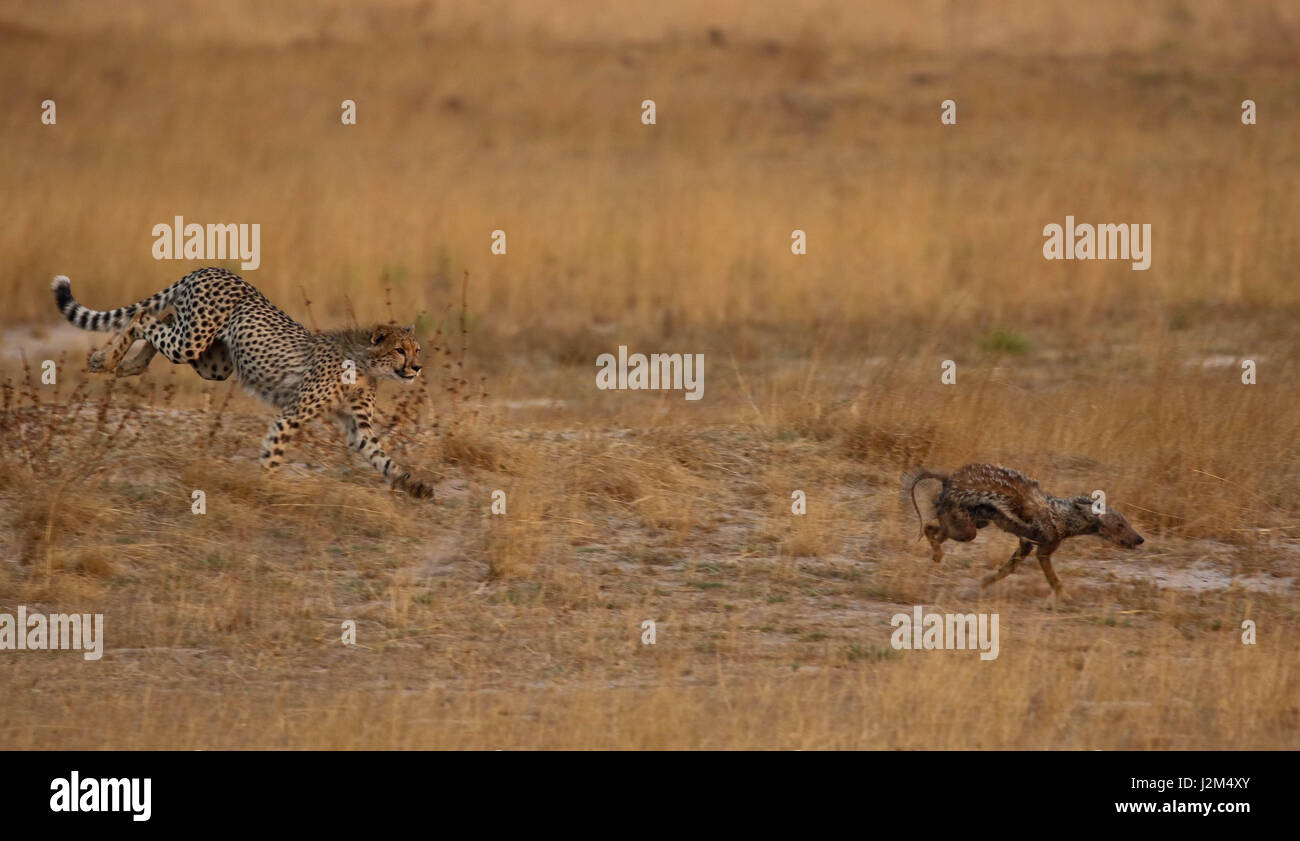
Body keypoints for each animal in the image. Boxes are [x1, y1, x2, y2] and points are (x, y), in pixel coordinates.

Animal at [53, 266, 436, 496]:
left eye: (417, 350)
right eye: (400, 350)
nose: (417, 368)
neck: (365, 365)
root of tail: (211, 268)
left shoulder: (358, 428)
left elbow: (381, 455)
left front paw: (412, 484)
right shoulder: (293, 414)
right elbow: (274, 452)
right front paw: (266, 487)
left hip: (212, 360)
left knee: (162, 318)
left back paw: (124, 365)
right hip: (193, 340)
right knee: (143, 317)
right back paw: (109, 360)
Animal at [904, 467, 1138, 597]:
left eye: (1127, 523)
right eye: (1119, 525)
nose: (1140, 539)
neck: (1066, 516)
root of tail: (948, 480)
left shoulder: (1025, 545)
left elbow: (1006, 570)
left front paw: (985, 583)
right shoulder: (1042, 551)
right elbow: (1054, 579)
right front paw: (1064, 597)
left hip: (973, 525)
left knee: (932, 527)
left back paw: (936, 555)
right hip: (968, 531)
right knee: (929, 527)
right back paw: (936, 554)